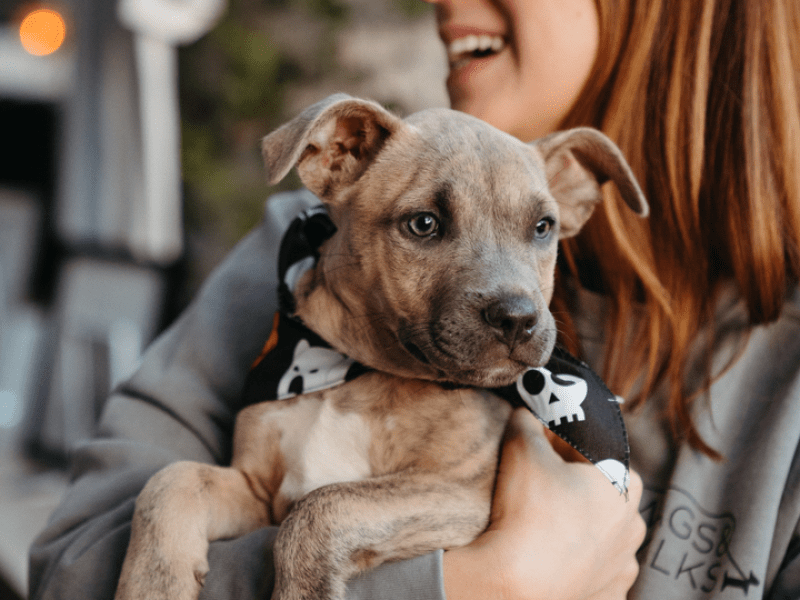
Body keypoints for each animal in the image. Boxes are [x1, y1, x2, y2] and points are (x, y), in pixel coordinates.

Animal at [114, 94, 648, 600]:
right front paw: (152, 584)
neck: (358, 372)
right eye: (424, 224)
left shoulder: (458, 494)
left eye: (543, 227)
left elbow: (325, 505)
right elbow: (171, 481)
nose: (517, 318)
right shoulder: (255, 486)